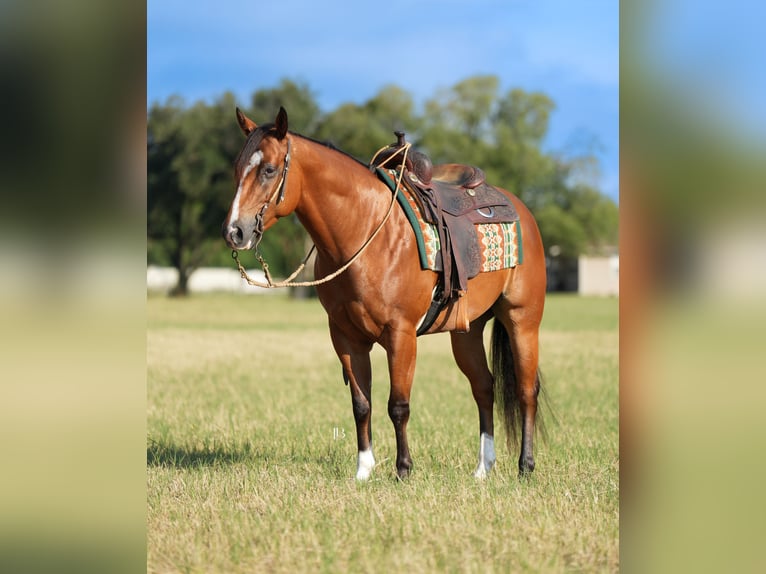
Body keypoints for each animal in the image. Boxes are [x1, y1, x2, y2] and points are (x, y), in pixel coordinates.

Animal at [222, 106, 547, 481]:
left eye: (269, 170)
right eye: (237, 168)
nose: (234, 231)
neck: (365, 230)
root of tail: (520, 208)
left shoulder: (401, 334)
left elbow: (398, 405)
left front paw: (403, 469)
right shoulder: (345, 337)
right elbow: (361, 404)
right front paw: (363, 470)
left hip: (522, 320)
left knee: (525, 390)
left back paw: (526, 466)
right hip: (467, 330)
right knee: (483, 386)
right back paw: (483, 468)